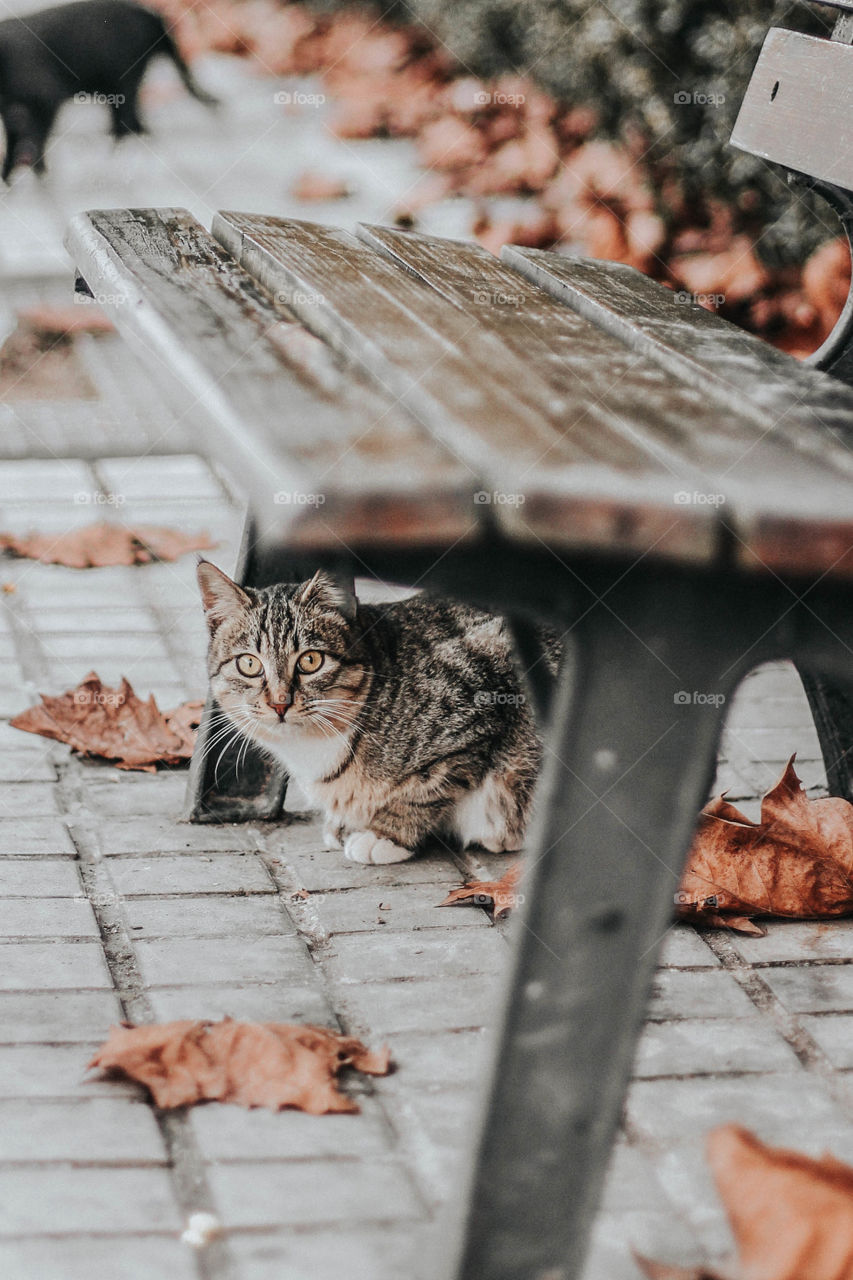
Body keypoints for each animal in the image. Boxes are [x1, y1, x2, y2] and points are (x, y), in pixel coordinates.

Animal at [0, 0, 216, 181]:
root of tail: (151, 16)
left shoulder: (48, 98)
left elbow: (38, 138)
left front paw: (37, 172)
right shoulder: (14, 112)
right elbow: (14, 141)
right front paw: (7, 176)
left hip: (124, 80)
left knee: (127, 123)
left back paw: (118, 157)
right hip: (117, 87)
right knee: (134, 123)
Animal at [197, 565, 550, 865]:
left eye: (311, 660)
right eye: (249, 663)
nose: (280, 703)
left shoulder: (482, 699)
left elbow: (426, 788)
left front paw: (385, 835)